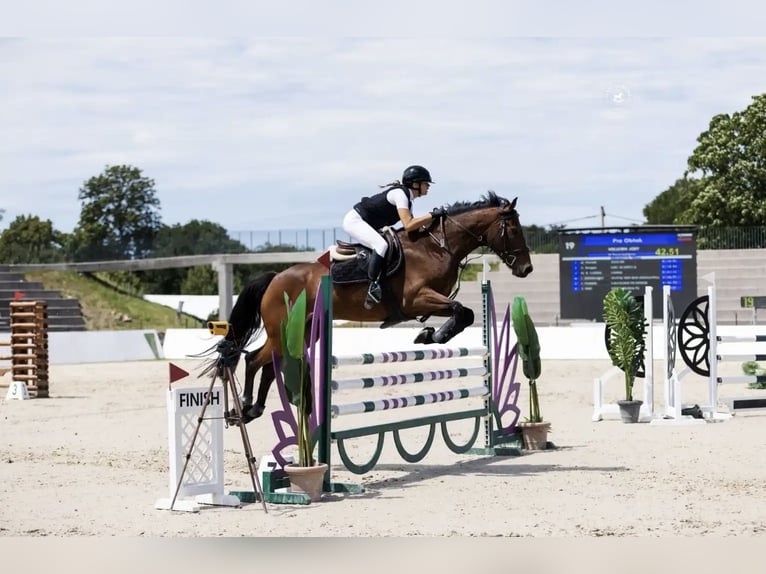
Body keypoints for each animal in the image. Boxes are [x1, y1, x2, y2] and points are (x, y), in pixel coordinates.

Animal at [204, 191, 533, 423]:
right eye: (513, 230)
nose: (526, 269)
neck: (436, 247)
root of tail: (275, 278)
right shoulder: (416, 298)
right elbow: (462, 311)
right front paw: (434, 336)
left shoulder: (428, 301)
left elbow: (464, 313)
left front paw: (429, 335)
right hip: (280, 329)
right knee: (254, 360)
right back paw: (246, 408)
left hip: (303, 331)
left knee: (270, 364)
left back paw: (254, 409)